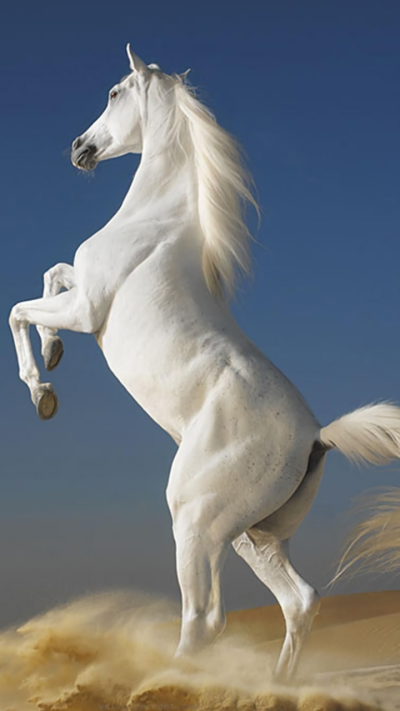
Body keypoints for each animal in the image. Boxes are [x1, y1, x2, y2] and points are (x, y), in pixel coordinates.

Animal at [9, 45, 400, 680]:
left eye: (114, 92)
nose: (78, 148)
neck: (155, 221)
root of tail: (317, 437)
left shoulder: (88, 309)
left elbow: (19, 308)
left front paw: (42, 391)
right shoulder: (80, 293)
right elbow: (51, 275)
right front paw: (53, 353)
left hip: (195, 520)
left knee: (205, 620)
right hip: (250, 535)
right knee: (300, 601)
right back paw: (275, 686)